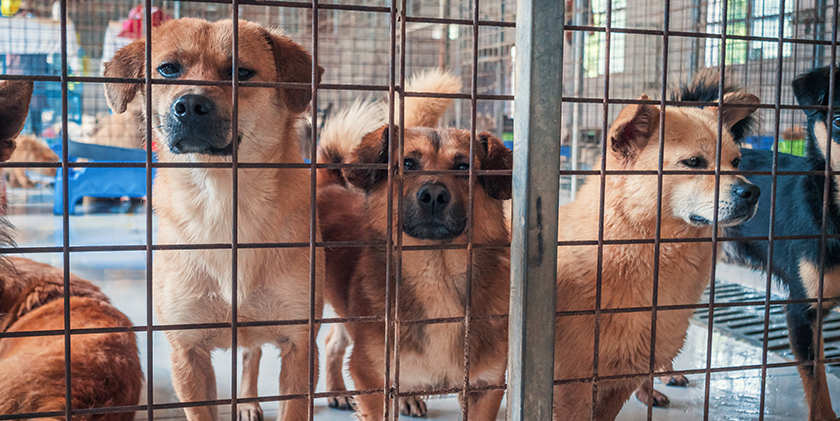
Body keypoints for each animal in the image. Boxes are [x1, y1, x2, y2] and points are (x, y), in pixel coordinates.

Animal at [104, 17, 324, 420]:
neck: (222, 200)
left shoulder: (300, 346)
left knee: (251, 354)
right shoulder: (187, 352)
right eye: (168, 69)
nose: (190, 104)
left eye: (241, 72)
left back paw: (249, 402)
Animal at [316, 70, 508, 418]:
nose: (433, 195)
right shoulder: (372, 378)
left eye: (463, 167)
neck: (437, 274)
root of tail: (331, 185)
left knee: (334, 343)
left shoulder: (485, 387)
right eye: (408, 164)